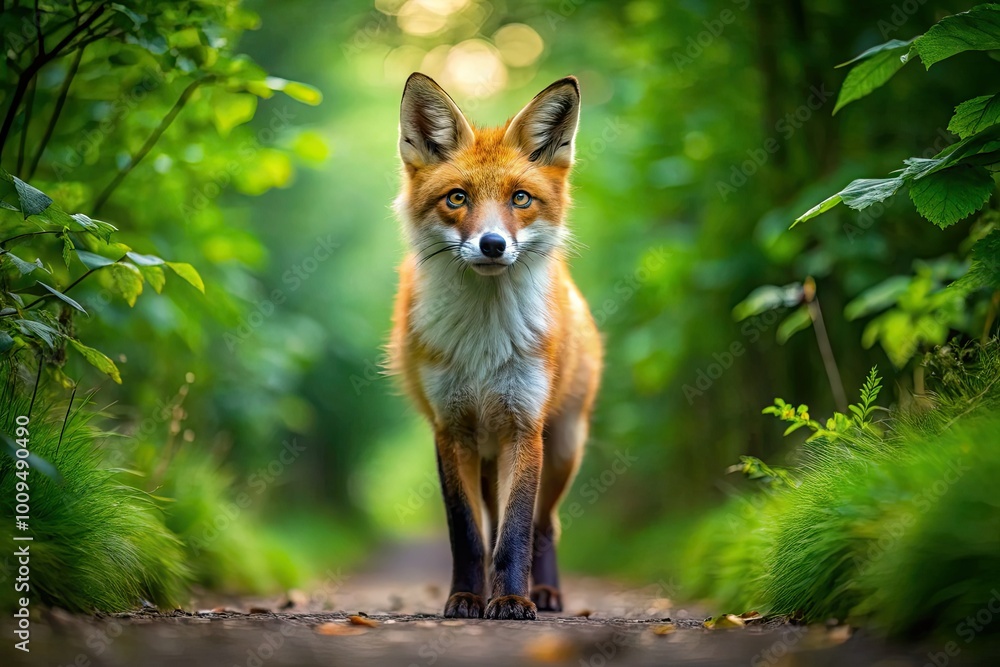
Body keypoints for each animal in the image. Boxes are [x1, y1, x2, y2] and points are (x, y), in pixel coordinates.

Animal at [389, 72, 603, 620]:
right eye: (457, 198)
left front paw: (511, 599)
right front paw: (467, 597)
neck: (483, 344)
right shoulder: (451, 430)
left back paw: (545, 593)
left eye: (521, 199)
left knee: (547, 525)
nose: (492, 244)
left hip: (563, 448)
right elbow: (468, 535)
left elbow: (516, 532)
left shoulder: (523, 427)